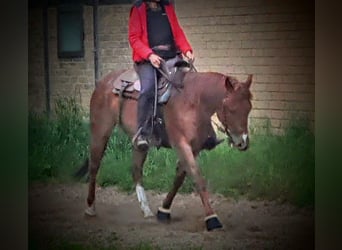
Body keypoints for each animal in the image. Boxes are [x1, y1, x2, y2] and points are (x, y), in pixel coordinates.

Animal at [75, 64, 251, 230]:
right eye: (231, 108)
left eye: (248, 108)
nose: (243, 142)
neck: (193, 100)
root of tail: (103, 82)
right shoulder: (181, 144)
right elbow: (197, 177)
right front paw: (212, 218)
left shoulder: (193, 148)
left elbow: (179, 178)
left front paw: (164, 211)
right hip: (100, 131)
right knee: (94, 166)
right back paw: (90, 208)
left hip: (140, 144)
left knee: (136, 170)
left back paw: (146, 210)